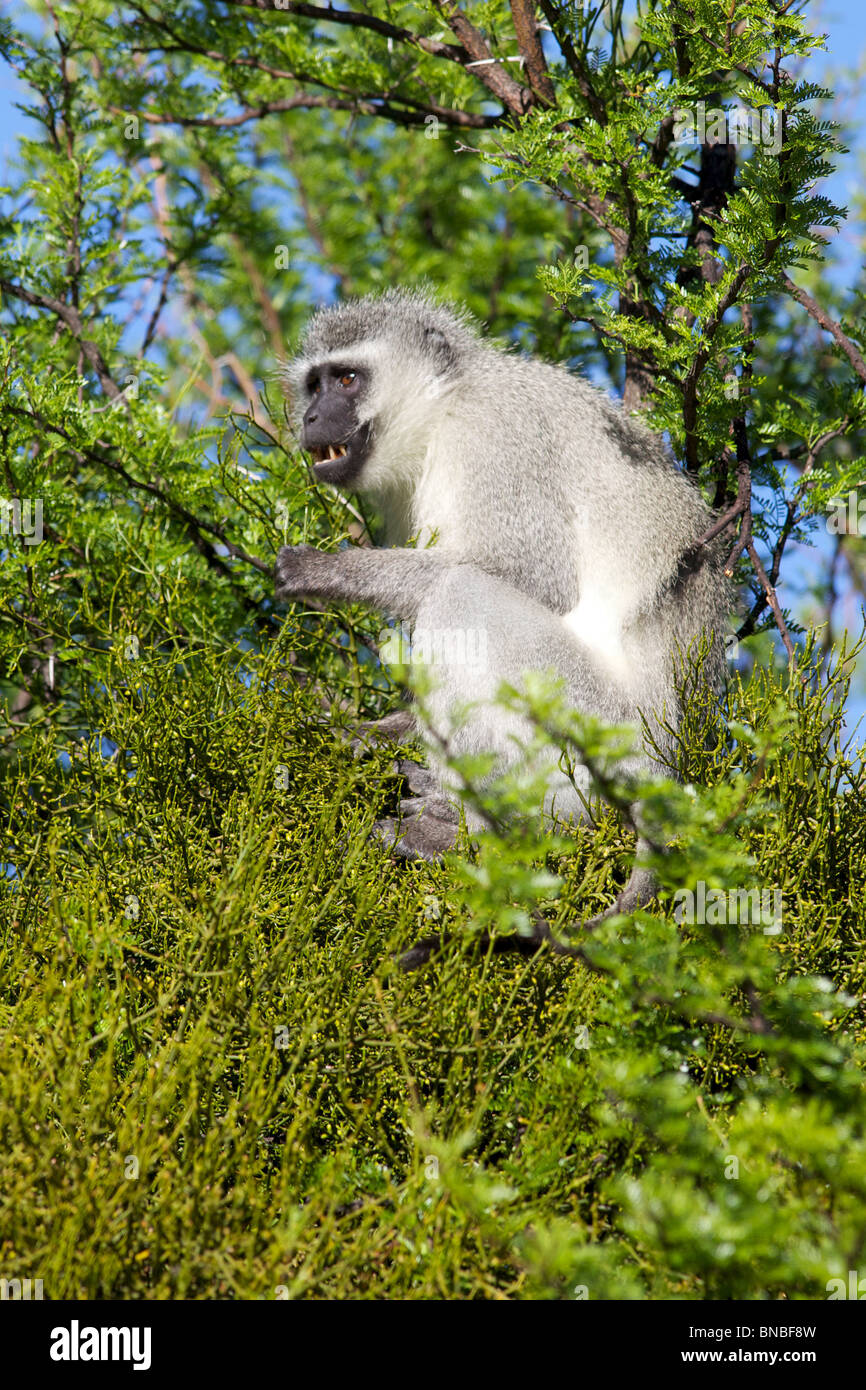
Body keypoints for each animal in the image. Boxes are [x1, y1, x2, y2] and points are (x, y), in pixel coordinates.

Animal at [274, 288, 729, 954]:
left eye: (348, 379)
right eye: (313, 384)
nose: (309, 418)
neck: (440, 418)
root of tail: (668, 760)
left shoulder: (498, 436)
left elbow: (530, 577)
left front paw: (326, 571)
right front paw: (372, 731)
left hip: (599, 721)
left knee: (460, 596)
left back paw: (473, 824)